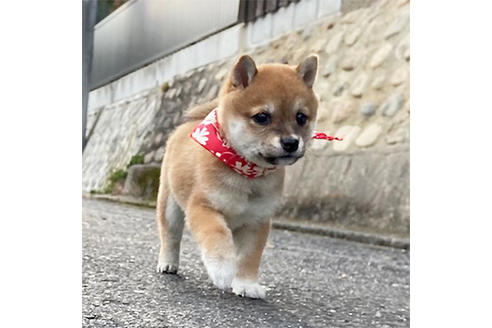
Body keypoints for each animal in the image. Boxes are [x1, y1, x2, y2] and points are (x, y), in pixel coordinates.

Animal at [156, 53, 320, 298]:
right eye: (262, 117)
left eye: (301, 117)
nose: (291, 142)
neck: (246, 173)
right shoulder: (204, 207)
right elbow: (216, 235)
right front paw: (222, 269)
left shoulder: (257, 221)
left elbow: (250, 257)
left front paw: (247, 284)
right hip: (170, 205)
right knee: (171, 236)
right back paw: (168, 263)